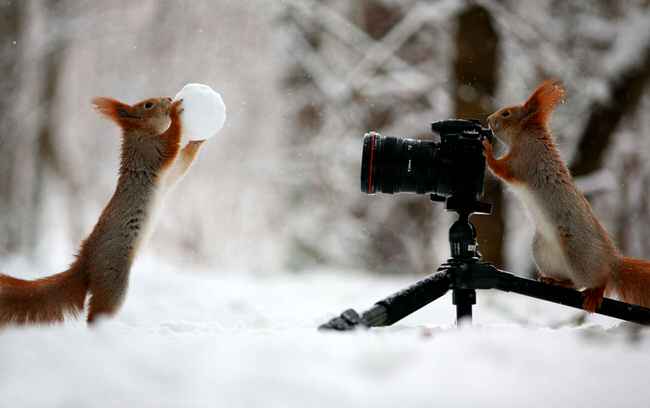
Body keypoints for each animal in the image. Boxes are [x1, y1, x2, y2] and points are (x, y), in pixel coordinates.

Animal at [0, 95, 204, 326]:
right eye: (148, 105)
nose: (169, 98)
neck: (142, 134)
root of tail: (85, 263)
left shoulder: (169, 175)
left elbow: (182, 163)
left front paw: (197, 141)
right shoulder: (152, 152)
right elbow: (172, 143)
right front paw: (177, 113)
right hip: (113, 280)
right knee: (97, 314)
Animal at [484, 80, 648, 312]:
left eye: (506, 113)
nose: (489, 119)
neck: (525, 135)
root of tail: (611, 260)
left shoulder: (523, 160)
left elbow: (501, 169)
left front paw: (487, 149)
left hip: (578, 254)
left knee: (596, 279)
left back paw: (595, 291)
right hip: (543, 251)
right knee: (572, 283)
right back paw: (554, 280)